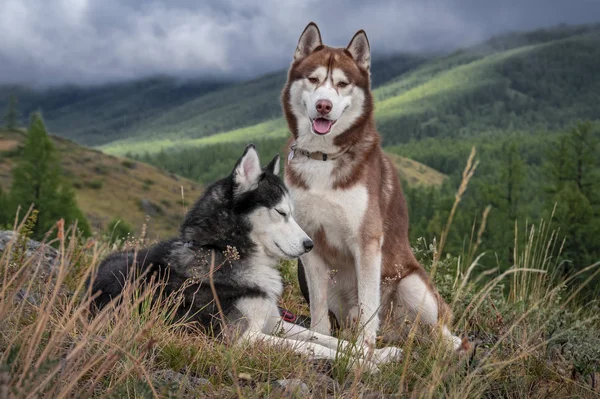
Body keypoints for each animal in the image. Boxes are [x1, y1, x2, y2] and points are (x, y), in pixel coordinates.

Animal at [89, 145, 404, 368]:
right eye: (281, 212)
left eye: (293, 212)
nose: (309, 245)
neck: (223, 251)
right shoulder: (243, 338)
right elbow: (313, 347)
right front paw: (362, 364)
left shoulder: (275, 322)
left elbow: (327, 338)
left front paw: (376, 353)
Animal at [282, 22, 468, 354]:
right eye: (314, 79)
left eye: (342, 84)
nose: (323, 105)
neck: (323, 157)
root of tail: (397, 332)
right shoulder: (311, 243)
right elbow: (317, 309)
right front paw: (320, 337)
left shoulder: (367, 241)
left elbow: (369, 303)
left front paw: (363, 351)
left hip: (412, 284)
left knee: (439, 330)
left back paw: (449, 346)